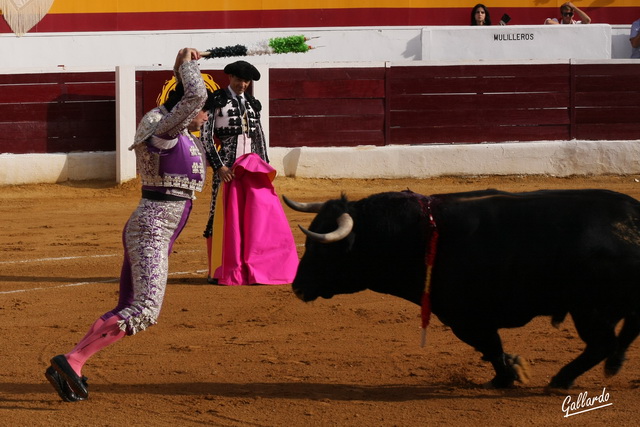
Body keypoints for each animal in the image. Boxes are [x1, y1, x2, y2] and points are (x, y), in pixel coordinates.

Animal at [284, 189, 640, 390]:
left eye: (322, 250)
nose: (297, 287)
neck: (415, 234)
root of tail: (634, 218)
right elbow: (492, 348)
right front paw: (513, 369)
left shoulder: (465, 317)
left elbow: (490, 346)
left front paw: (506, 377)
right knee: (622, 335)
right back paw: (611, 366)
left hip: (590, 309)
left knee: (602, 343)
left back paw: (562, 379)